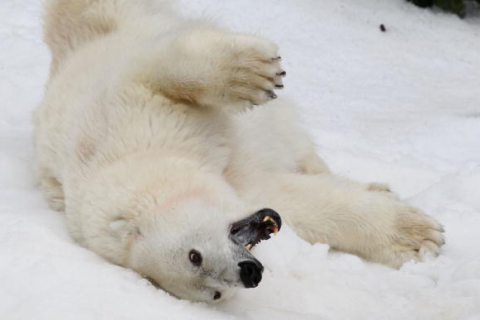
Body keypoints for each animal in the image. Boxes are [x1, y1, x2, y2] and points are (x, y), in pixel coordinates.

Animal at [33, 0, 444, 302]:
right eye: (213, 293)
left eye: (193, 255)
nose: (249, 273)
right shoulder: (245, 189)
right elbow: (301, 205)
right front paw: (417, 236)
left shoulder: (123, 113)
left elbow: (155, 71)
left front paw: (252, 74)